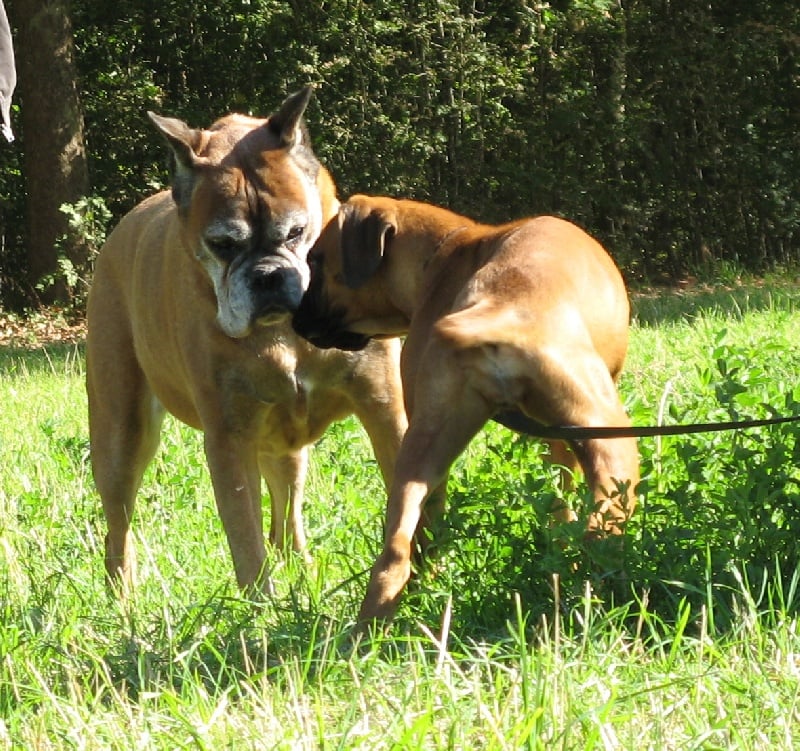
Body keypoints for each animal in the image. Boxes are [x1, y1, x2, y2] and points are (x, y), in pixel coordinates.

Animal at [87, 88, 406, 596]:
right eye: (222, 244)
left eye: (297, 232)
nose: (268, 275)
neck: (285, 333)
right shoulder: (229, 439)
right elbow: (246, 540)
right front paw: (261, 606)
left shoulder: (384, 406)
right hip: (121, 434)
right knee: (118, 525)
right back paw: (123, 595)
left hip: (284, 447)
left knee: (286, 514)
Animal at [290, 194, 640, 624]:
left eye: (317, 259)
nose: (294, 317)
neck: (445, 255)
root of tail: (500, 304)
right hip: (613, 445)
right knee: (597, 536)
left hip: (422, 453)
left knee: (396, 555)